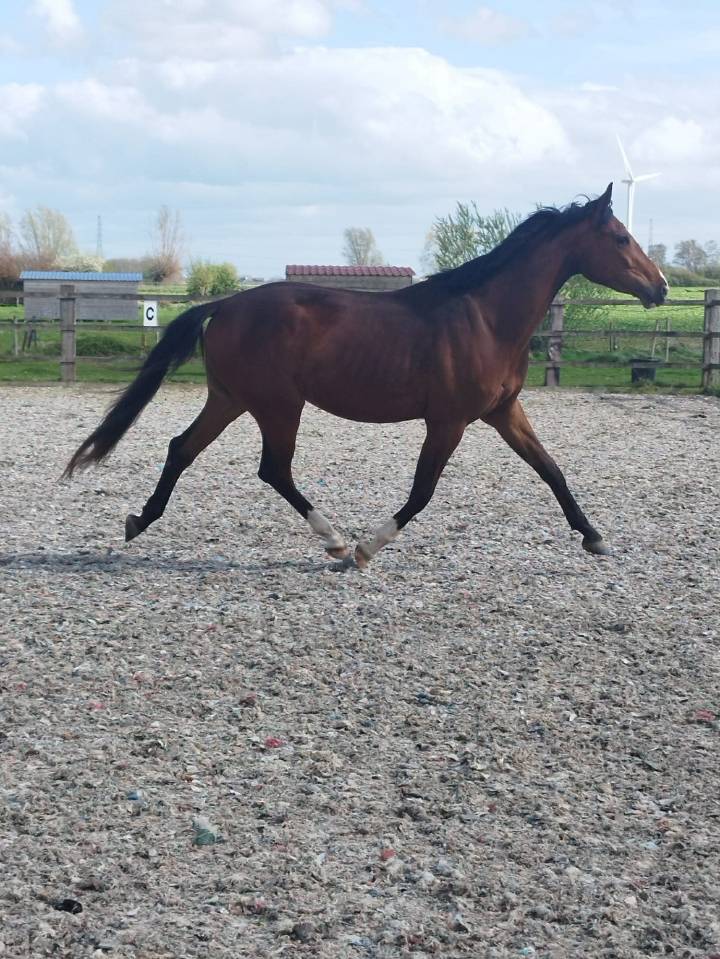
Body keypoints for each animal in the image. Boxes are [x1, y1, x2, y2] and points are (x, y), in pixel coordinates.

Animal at [64, 183, 668, 567]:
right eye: (619, 238)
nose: (660, 287)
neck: (487, 316)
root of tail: (227, 303)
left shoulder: (503, 412)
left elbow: (552, 472)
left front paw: (595, 538)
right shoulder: (448, 422)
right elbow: (422, 493)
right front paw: (366, 549)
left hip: (231, 398)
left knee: (182, 448)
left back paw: (139, 520)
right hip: (278, 405)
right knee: (272, 469)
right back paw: (334, 541)